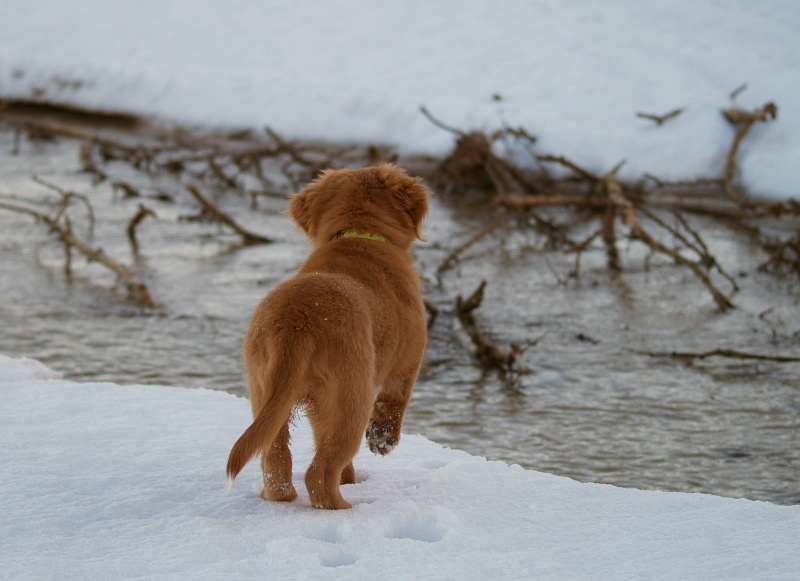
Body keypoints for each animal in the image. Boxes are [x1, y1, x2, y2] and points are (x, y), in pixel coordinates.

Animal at [225, 163, 428, 508]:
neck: (359, 234)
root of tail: (296, 322)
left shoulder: (318, 408)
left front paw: (351, 478)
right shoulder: (410, 354)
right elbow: (395, 400)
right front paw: (383, 439)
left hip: (266, 393)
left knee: (276, 461)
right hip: (352, 396)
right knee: (319, 473)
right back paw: (345, 508)